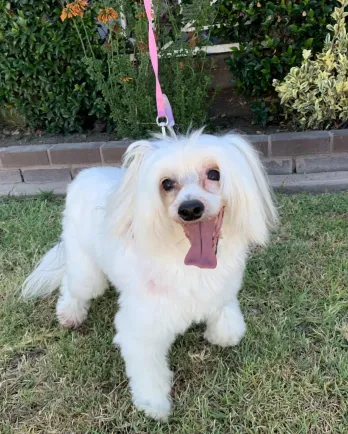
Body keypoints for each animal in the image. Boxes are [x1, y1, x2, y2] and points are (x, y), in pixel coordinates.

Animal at [21, 130, 278, 420]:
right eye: (166, 183)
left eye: (214, 174)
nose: (190, 208)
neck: (184, 258)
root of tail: (85, 174)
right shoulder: (140, 327)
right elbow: (148, 372)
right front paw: (154, 405)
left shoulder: (221, 292)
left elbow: (229, 328)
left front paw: (218, 333)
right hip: (86, 269)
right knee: (73, 282)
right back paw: (69, 313)